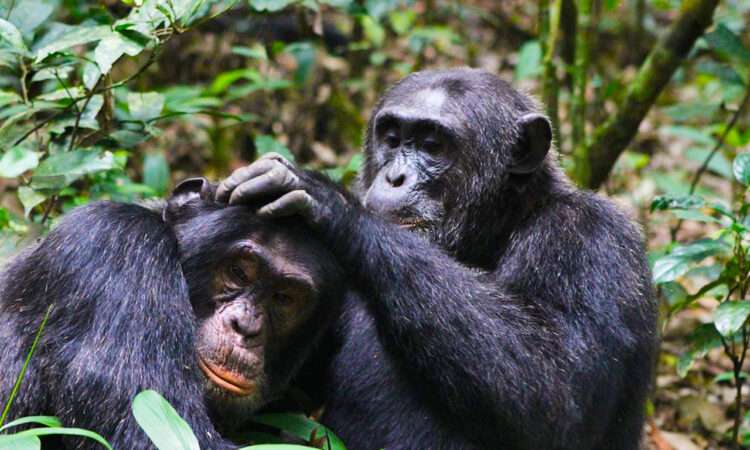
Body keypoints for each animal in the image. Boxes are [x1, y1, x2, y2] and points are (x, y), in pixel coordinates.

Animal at [220, 67, 660, 450]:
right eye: (392, 138)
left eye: (432, 145)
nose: (395, 177)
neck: (494, 232)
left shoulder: (592, 240)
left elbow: (556, 391)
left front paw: (326, 201)